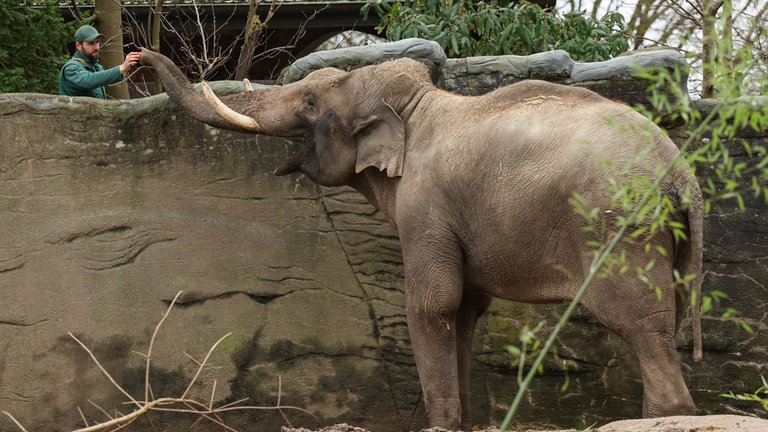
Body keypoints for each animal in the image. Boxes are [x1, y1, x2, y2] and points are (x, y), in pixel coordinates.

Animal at [136, 49, 704, 430]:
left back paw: (669, 413)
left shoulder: (426, 207)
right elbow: (465, 312)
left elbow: (434, 304)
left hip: (621, 227)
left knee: (638, 321)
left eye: (311, 101)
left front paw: (441, 425)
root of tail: (682, 174)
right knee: (667, 318)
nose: (135, 58)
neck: (416, 106)